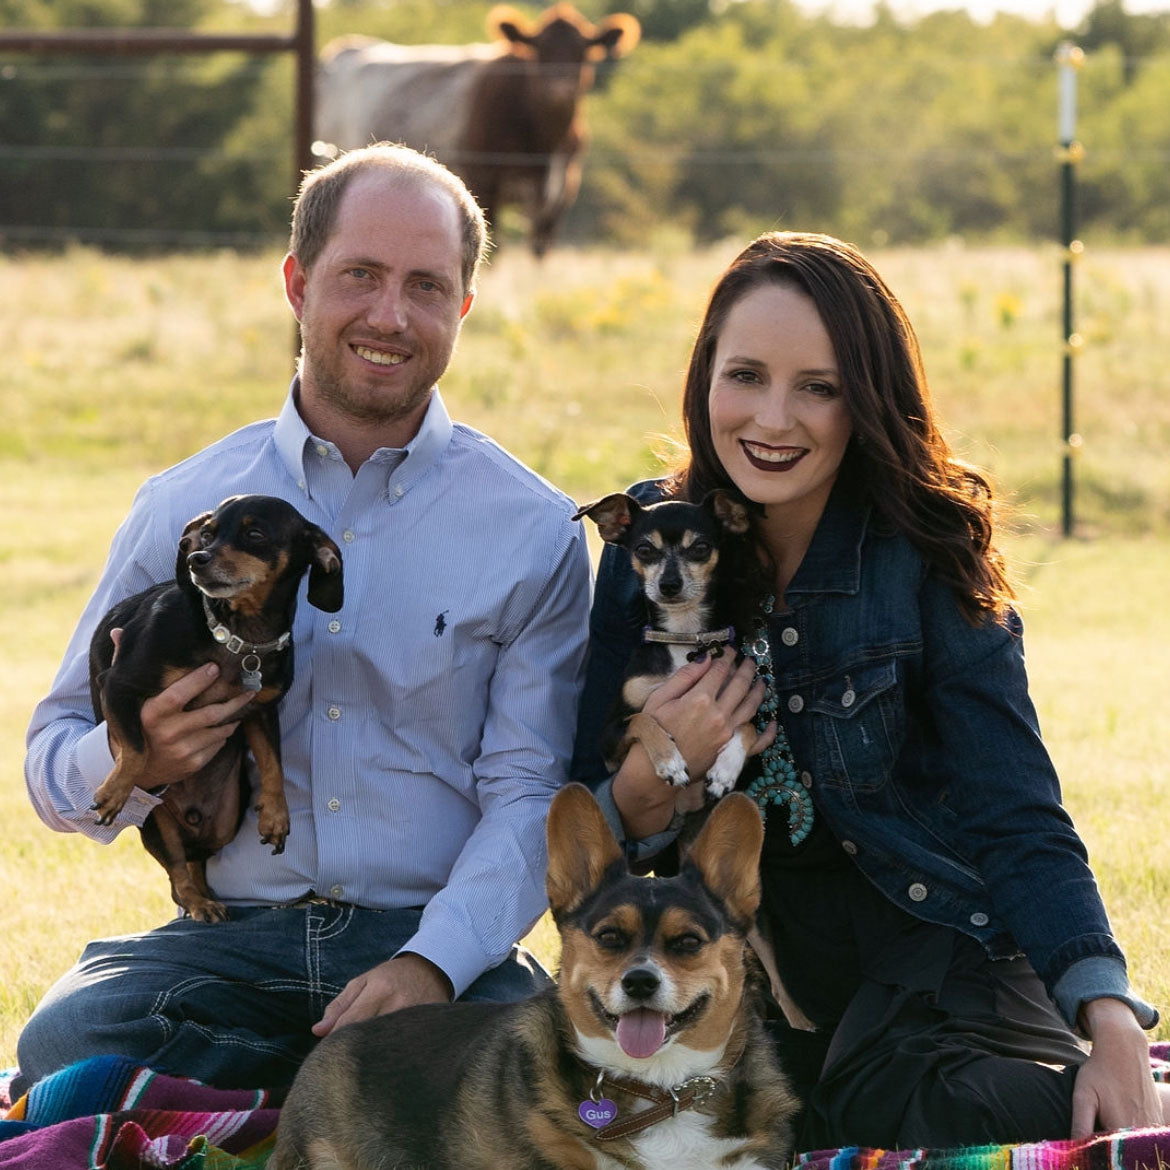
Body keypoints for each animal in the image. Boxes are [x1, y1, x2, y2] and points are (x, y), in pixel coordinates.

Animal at [87, 493, 341, 921]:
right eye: (206, 534)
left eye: (255, 535)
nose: (196, 559)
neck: (236, 637)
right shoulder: (119, 686)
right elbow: (138, 748)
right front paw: (114, 791)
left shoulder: (261, 710)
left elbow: (273, 763)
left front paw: (276, 816)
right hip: (157, 822)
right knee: (177, 872)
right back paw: (200, 903)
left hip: (225, 821)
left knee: (193, 862)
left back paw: (208, 896)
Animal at [315, 4, 641, 256]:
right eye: (539, 50)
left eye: (584, 51)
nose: (560, 89)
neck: (544, 146)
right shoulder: (485, 182)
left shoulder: (560, 194)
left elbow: (539, 252)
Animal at [573, 489, 748, 800]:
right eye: (644, 550)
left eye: (701, 547)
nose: (669, 584)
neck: (683, 637)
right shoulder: (608, 741)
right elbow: (642, 718)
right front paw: (670, 761)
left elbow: (749, 727)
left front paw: (725, 771)